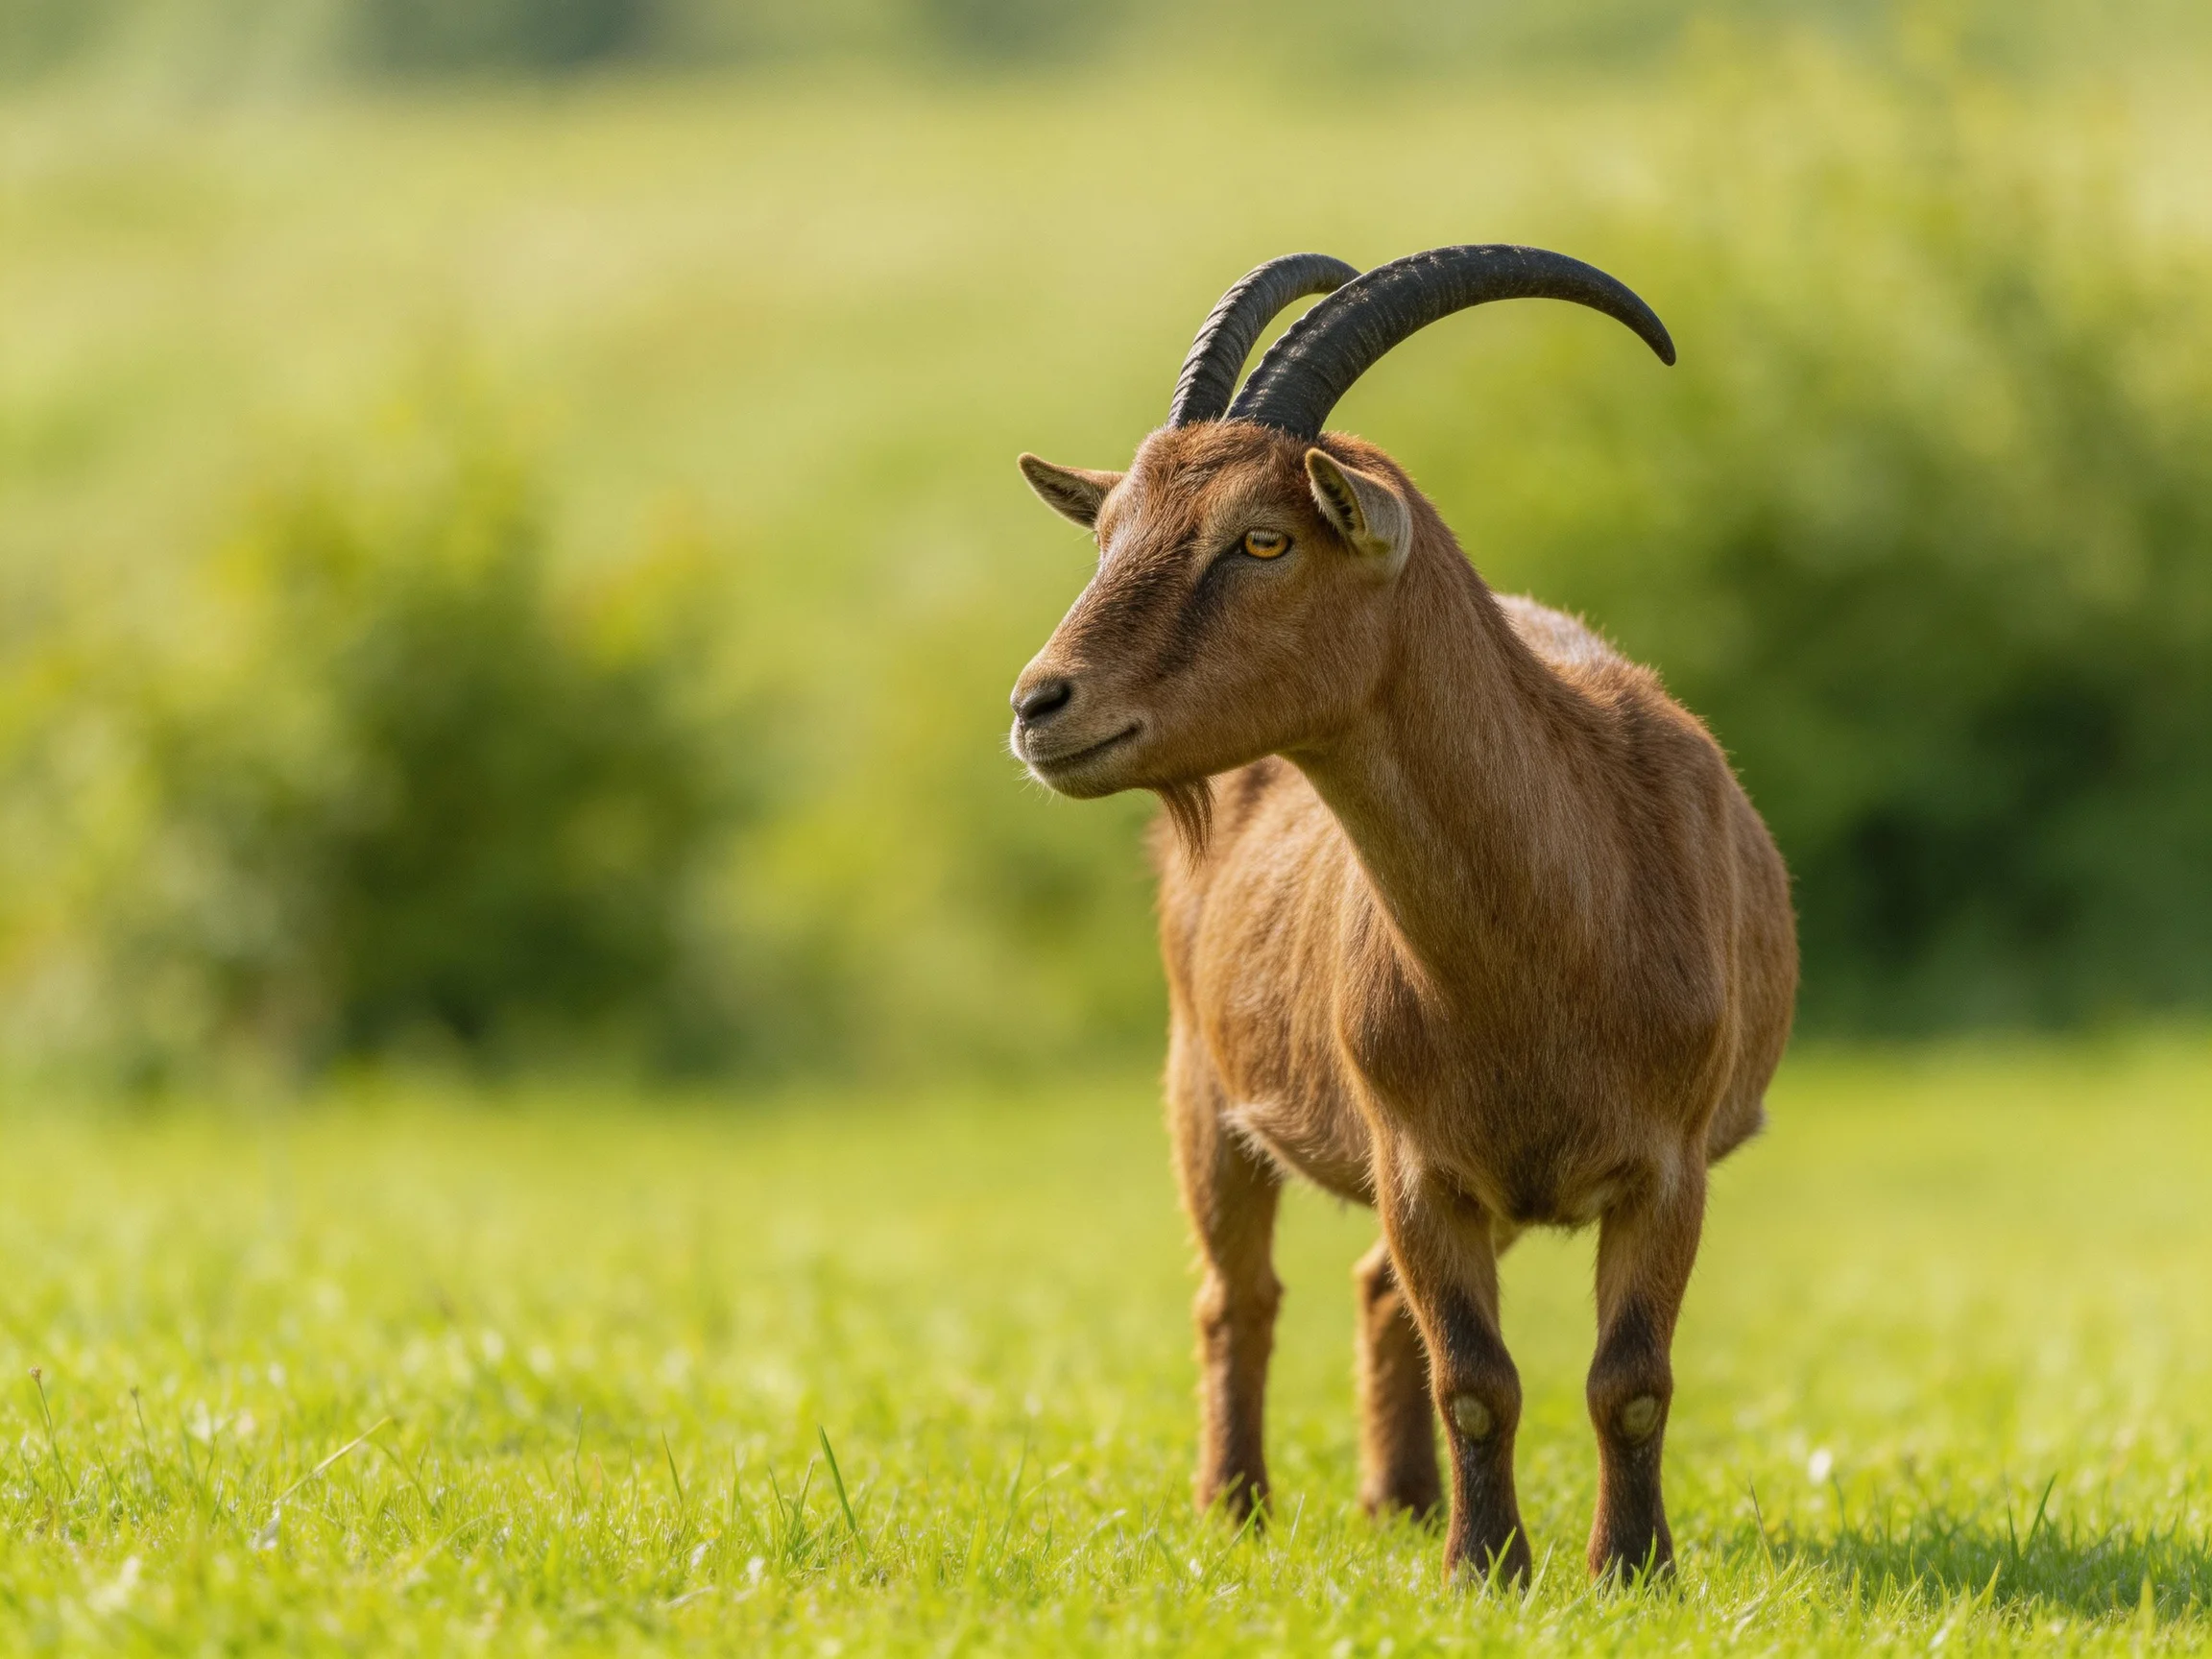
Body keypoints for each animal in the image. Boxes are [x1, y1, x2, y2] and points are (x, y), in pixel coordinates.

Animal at [1007, 247, 1797, 1584]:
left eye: (1261, 538)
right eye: (1109, 534)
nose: (1040, 703)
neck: (1553, 939)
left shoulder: (1667, 1164)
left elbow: (1630, 1380)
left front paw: (1630, 1568)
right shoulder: (1417, 1160)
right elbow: (1477, 1378)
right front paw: (1490, 1570)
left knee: (1375, 1291)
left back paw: (1399, 1501)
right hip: (1201, 1082)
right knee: (1238, 1297)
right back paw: (1236, 1505)